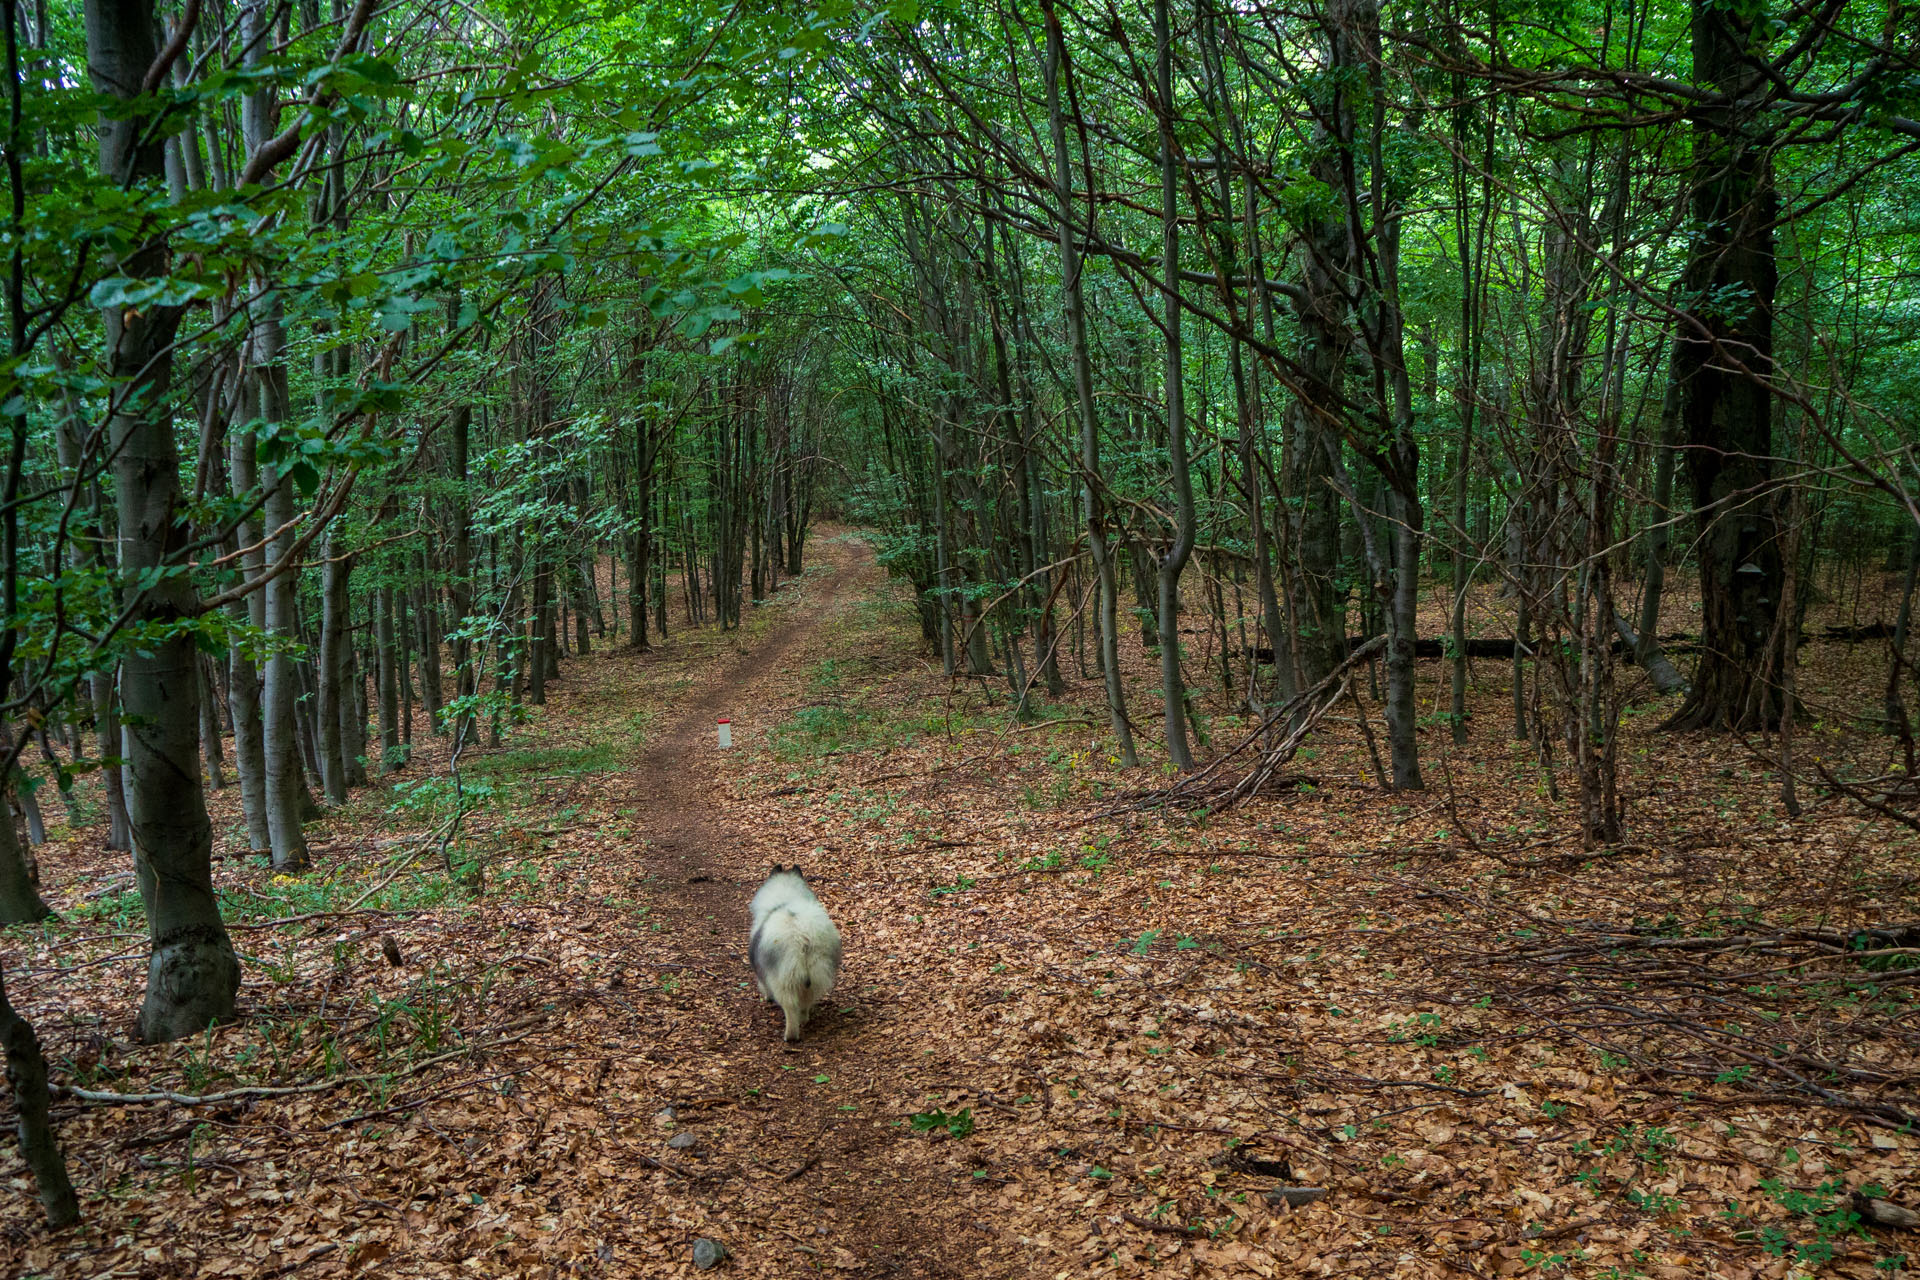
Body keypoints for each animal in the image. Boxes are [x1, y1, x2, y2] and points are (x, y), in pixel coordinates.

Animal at [748, 867, 840, 1043]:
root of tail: (802, 935)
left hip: (784, 978)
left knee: (790, 1007)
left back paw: (790, 1035)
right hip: (816, 972)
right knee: (806, 1001)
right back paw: (803, 1020)